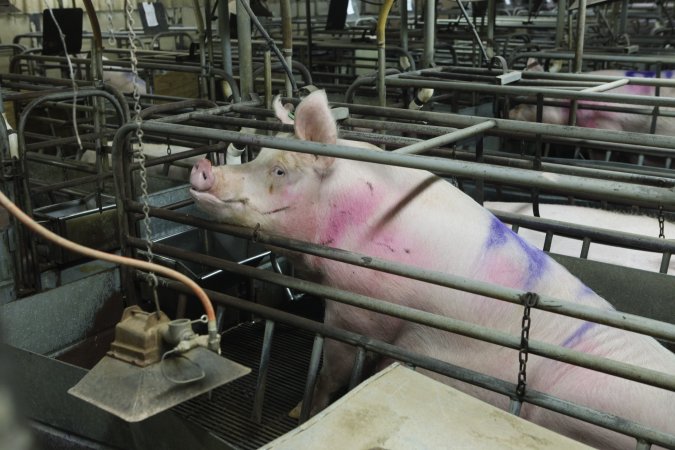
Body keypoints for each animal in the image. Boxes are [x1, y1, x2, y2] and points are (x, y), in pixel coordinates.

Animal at [189, 89, 675, 448]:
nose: (201, 167)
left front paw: (299, 412)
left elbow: (333, 370)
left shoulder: (358, 310)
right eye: (257, 156)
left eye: (279, 170)